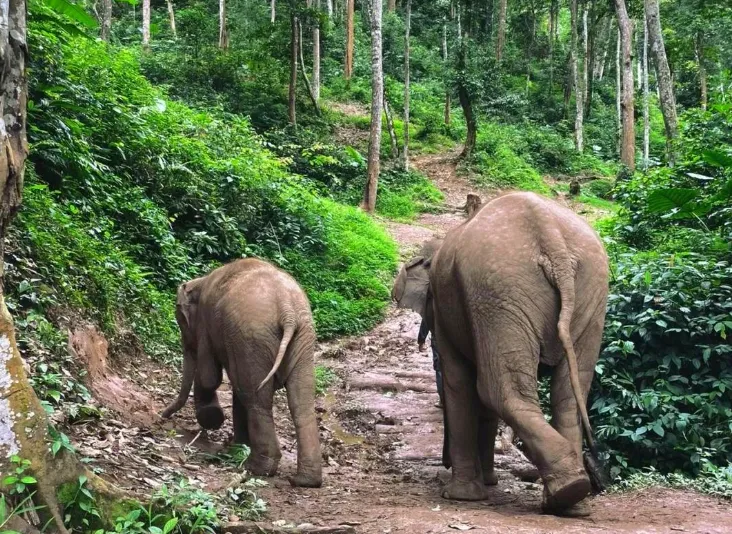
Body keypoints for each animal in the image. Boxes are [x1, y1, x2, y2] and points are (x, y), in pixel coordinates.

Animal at [161, 258, 322, 488]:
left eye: (181, 323)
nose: (162, 416)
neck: (200, 281)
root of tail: (287, 310)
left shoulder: (206, 324)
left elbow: (209, 376)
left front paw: (213, 420)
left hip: (251, 337)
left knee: (254, 398)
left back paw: (256, 468)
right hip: (303, 338)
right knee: (301, 402)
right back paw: (304, 480)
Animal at [392, 192, 609, 516]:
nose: (444, 462)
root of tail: (550, 235)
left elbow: (460, 384)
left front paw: (461, 496)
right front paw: (487, 483)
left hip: (497, 291)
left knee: (498, 390)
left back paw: (568, 492)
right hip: (586, 291)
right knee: (570, 395)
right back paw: (572, 498)